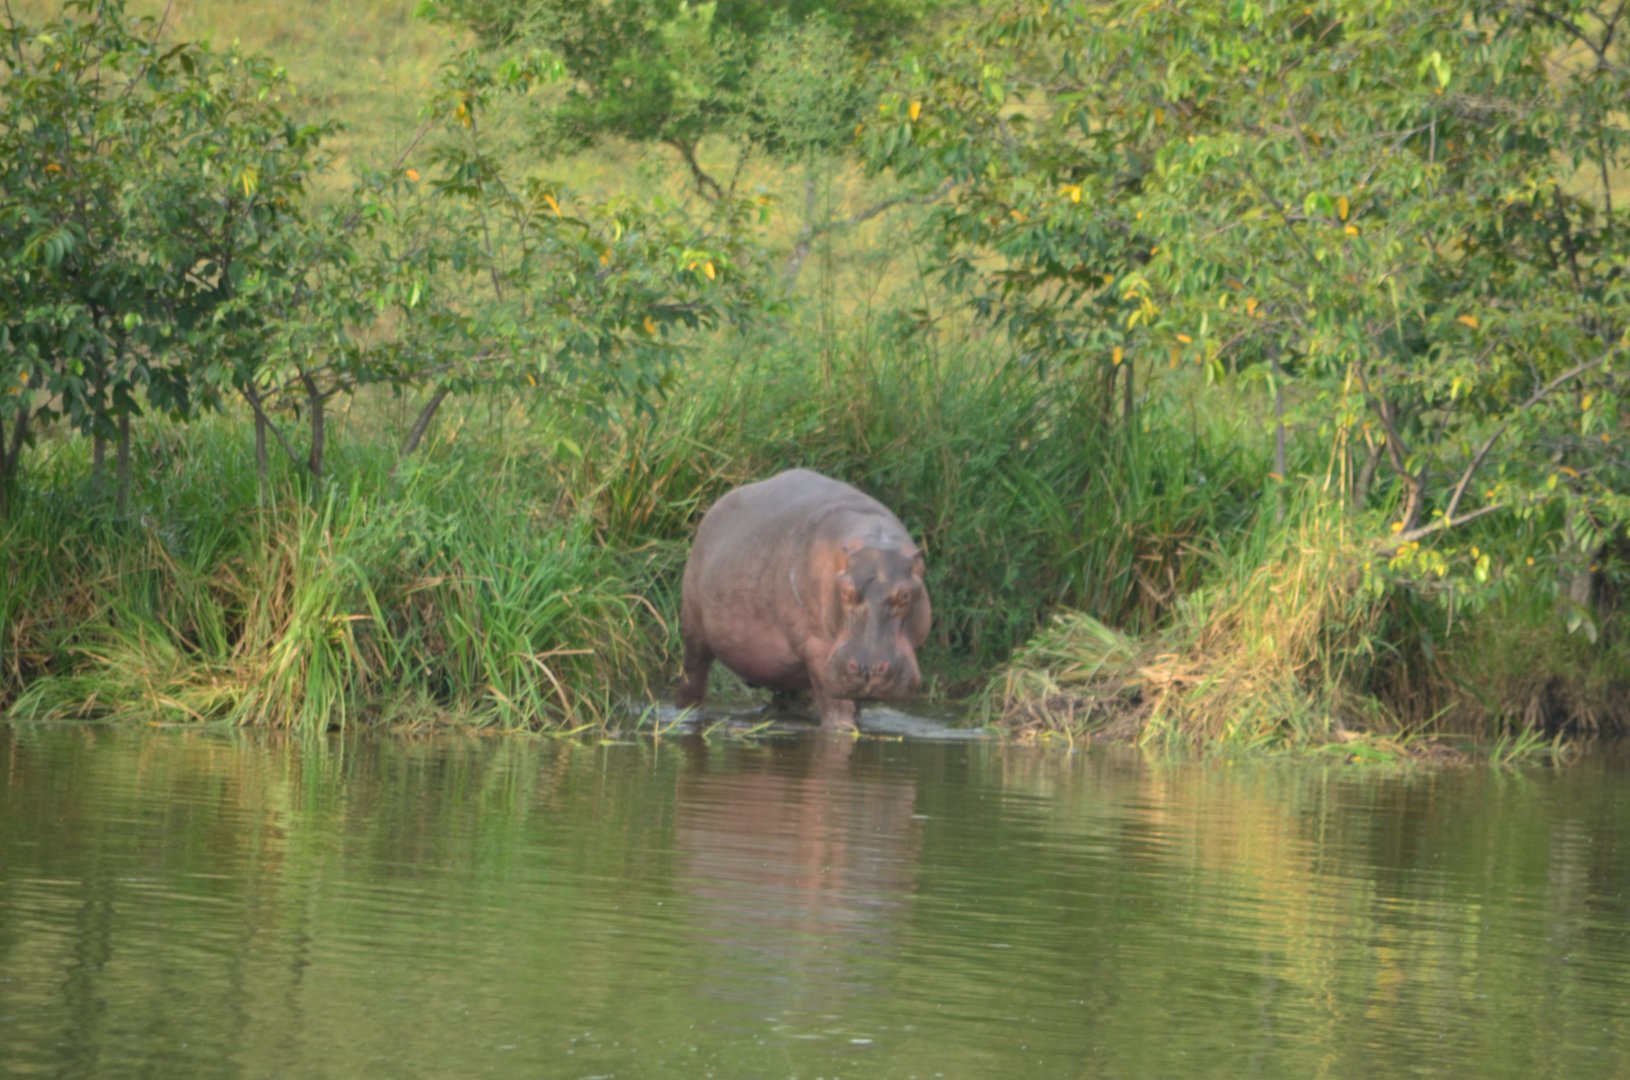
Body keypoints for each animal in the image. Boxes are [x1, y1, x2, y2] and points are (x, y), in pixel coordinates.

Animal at [676, 469, 932, 731]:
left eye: (905, 594)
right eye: (846, 590)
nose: (868, 667)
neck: (876, 542)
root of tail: (712, 512)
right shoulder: (817, 647)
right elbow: (837, 708)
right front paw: (840, 727)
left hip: (783, 671)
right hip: (693, 630)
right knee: (693, 675)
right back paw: (685, 714)